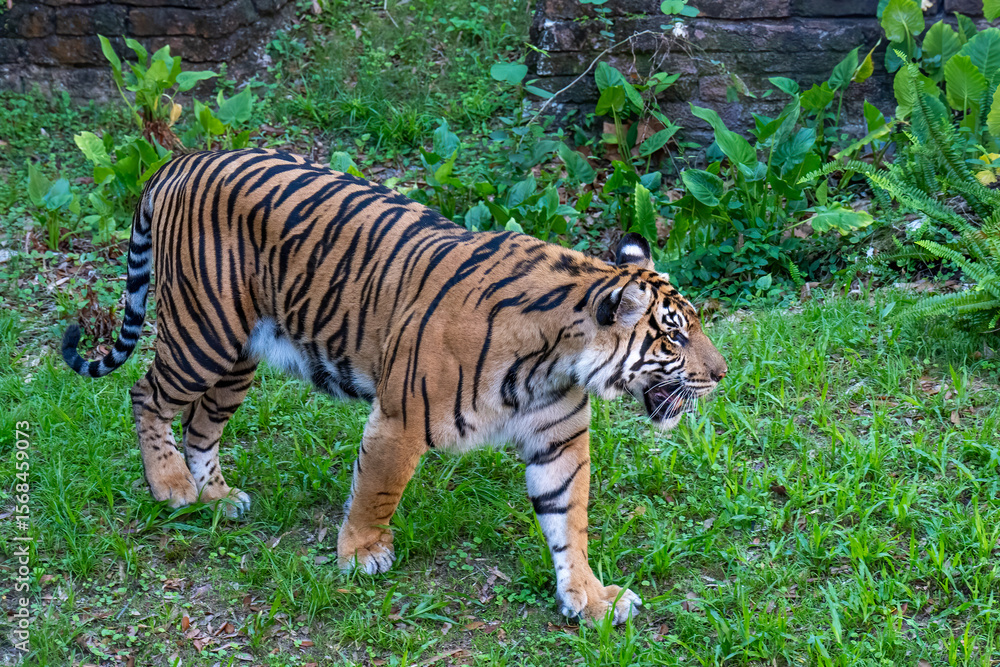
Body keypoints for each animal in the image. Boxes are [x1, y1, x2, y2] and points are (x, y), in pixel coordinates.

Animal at [62, 149, 726, 624]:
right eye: (673, 336)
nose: (720, 375)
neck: (554, 362)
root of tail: (181, 159)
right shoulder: (401, 418)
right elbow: (377, 490)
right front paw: (360, 555)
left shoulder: (558, 444)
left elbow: (570, 523)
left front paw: (590, 600)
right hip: (202, 335)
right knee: (146, 395)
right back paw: (171, 487)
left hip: (239, 358)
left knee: (201, 425)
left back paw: (217, 498)